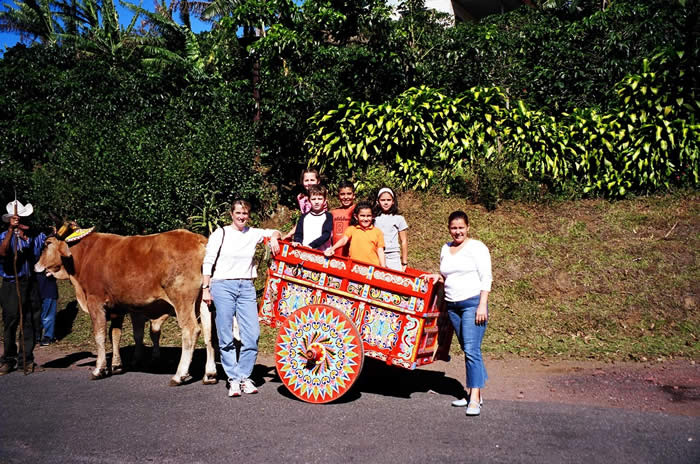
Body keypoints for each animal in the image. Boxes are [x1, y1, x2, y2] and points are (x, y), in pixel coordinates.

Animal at [34, 229, 217, 386]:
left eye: (47, 243)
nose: (36, 266)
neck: (83, 255)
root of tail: (199, 239)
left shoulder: (95, 302)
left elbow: (100, 336)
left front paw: (99, 369)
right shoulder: (118, 308)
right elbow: (115, 335)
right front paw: (116, 365)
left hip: (182, 300)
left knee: (191, 331)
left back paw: (179, 375)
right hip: (204, 302)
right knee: (209, 333)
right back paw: (209, 374)